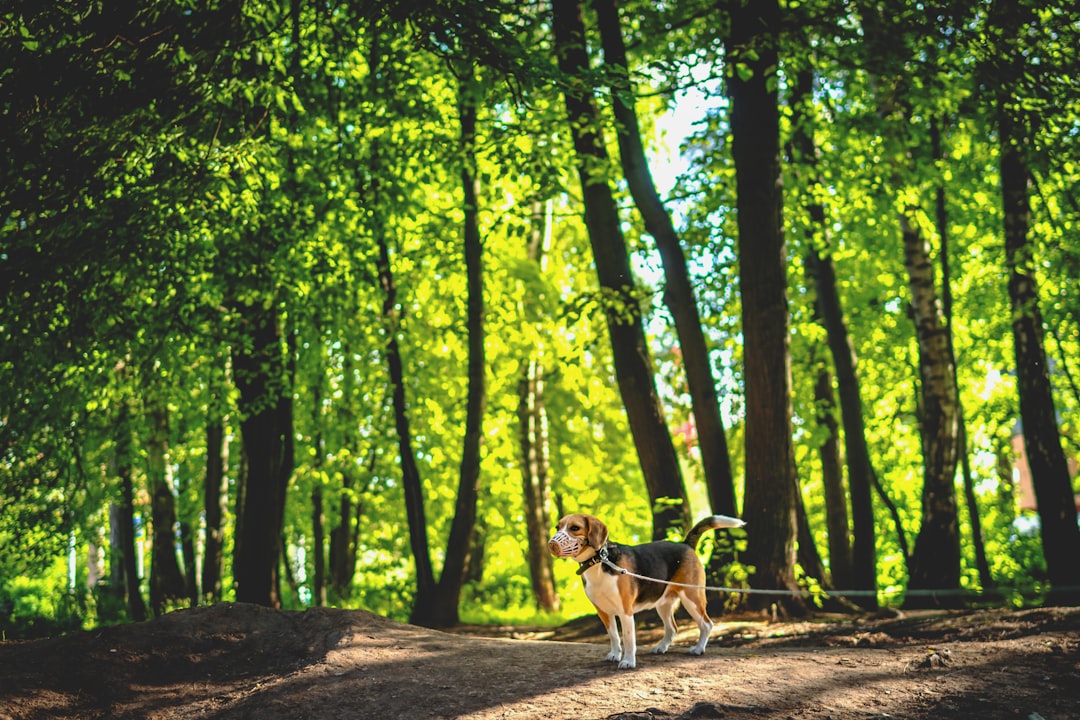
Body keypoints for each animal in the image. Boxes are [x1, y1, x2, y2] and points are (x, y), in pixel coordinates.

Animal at [548, 511, 743, 669]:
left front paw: (627, 661)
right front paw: (615, 654)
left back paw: (699, 649)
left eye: (575, 528)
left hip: (692, 597)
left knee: (707, 624)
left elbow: (628, 638)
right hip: (663, 604)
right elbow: (613, 635)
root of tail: (685, 544)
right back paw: (661, 647)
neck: (599, 562)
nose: (551, 544)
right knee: (672, 628)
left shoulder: (625, 611)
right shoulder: (603, 611)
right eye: (557, 527)